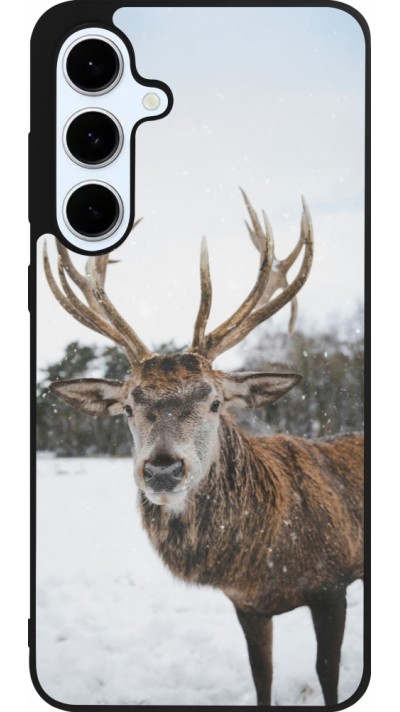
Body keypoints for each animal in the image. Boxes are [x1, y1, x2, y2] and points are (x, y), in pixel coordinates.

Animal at [43, 190, 364, 706]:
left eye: (214, 402)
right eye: (129, 407)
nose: (162, 470)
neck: (264, 559)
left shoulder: (332, 582)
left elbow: (328, 673)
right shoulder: (247, 604)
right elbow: (262, 675)